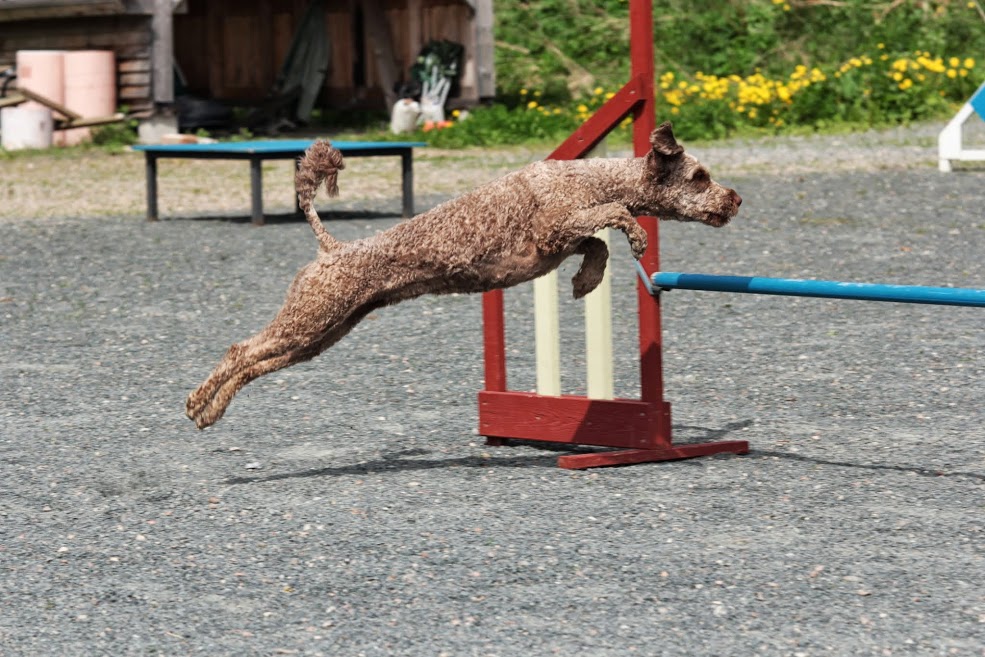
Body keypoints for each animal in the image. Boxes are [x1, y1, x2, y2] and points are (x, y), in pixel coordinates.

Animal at [186, 122, 741, 428]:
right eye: (700, 177)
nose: (736, 198)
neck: (591, 177)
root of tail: (332, 248)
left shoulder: (559, 241)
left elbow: (597, 244)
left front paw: (586, 281)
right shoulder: (555, 226)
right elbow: (614, 216)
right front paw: (634, 241)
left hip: (321, 334)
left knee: (254, 365)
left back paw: (212, 413)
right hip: (311, 317)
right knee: (240, 351)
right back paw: (196, 404)